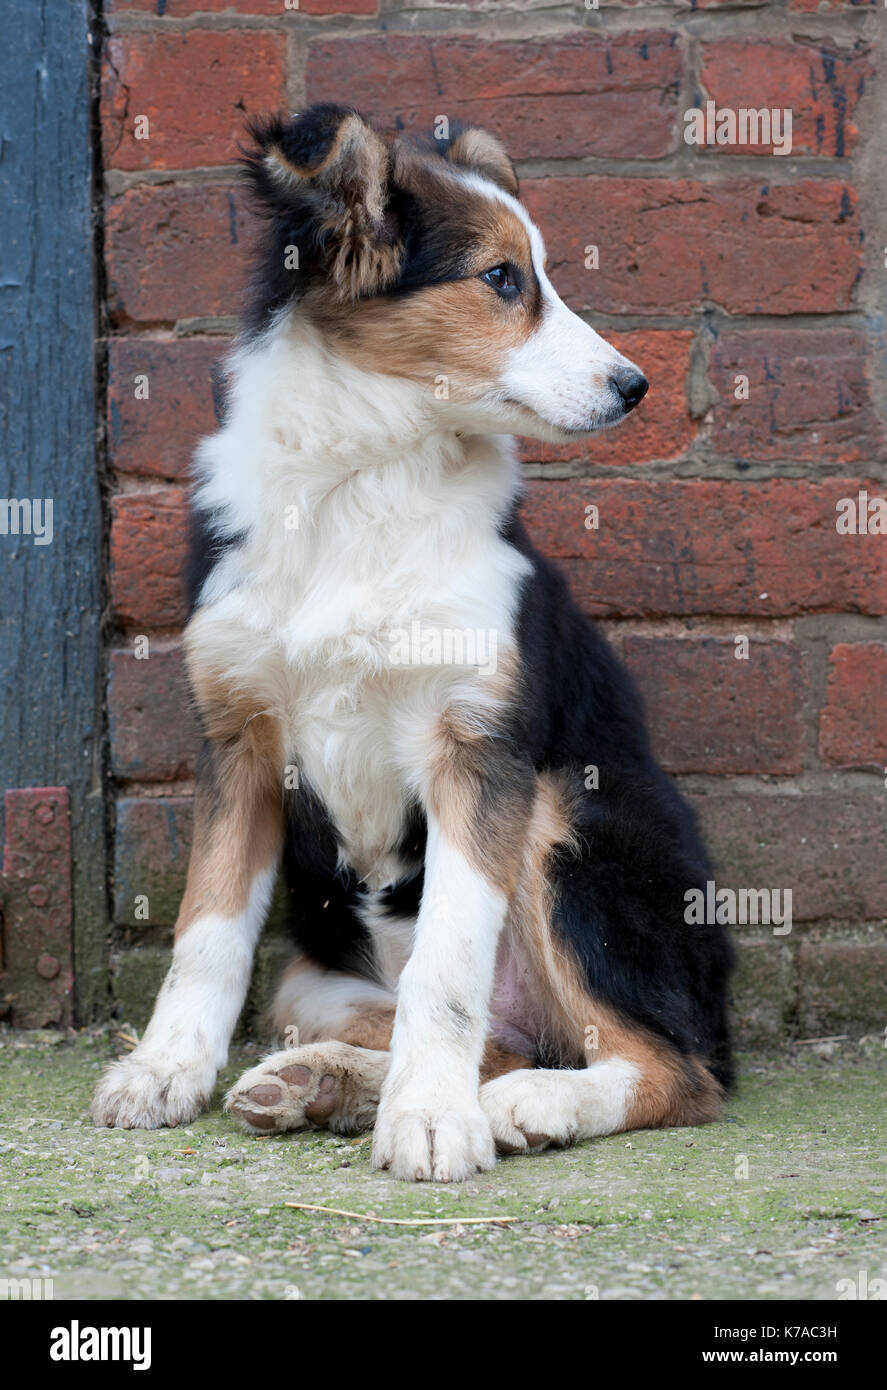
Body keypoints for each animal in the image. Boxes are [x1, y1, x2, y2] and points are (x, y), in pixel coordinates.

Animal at [95, 102, 734, 1178]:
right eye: (502, 279)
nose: (633, 386)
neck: (368, 472)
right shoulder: (238, 739)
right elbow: (206, 930)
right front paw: (164, 1070)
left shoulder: (477, 753)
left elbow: (447, 964)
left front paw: (432, 1122)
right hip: (313, 981)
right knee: (496, 1037)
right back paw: (324, 1083)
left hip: (568, 820)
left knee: (672, 1068)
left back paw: (529, 1104)